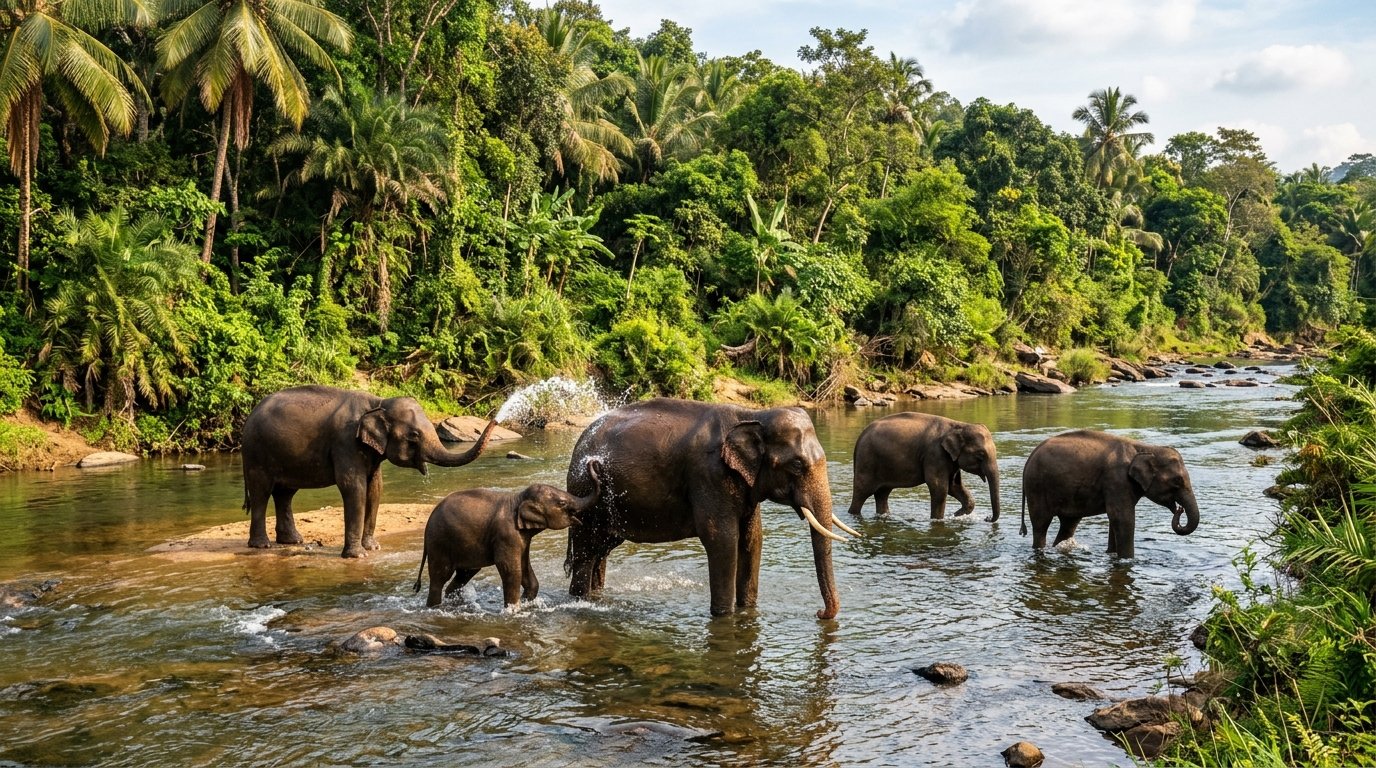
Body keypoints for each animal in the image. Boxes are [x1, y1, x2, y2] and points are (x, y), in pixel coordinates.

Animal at [241, 385, 497, 558]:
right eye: (414, 435)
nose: (495, 418)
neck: (378, 402)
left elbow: (375, 487)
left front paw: (373, 548)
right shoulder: (345, 442)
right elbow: (354, 487)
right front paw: (357, 555)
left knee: (285, 493)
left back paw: (292, 541)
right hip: (256, 452)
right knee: (261, 492)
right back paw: (262, 545)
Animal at [413, 461, 603, 609]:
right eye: (562, 503)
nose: (594, 463)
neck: (518, 498)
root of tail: (427, 526)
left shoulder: (522, 539)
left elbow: (524, 566)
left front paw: (528, 603)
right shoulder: (506, 534)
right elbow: (510, 568)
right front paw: (513, 610)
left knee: (464, 574)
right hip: (439, 542)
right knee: (440, 577)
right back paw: (434, 607)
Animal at [563, 398, 859, 620]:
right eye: (797, 465)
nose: (819, 613)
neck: (752, 414)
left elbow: (753, 540)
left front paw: (748, 610)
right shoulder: (710, 475)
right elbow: (722, 539)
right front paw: (724, 616)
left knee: (602, 549)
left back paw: (597, 595)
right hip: (585, 491)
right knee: (587, 549)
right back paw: (581, 601)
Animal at [846, 412, 1002, 522]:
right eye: (981, 455)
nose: (987, 518)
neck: (958, 425)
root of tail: (860, 437)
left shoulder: (951, 460)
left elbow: (954, 486)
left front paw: (956, 515)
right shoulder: (935, 454)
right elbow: (940, 488)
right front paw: (939, 520)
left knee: (882, 493)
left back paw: (885, 516)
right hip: (867, 462)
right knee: (862, 492)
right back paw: (854, 515)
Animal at [1020, 429, 1201, 559]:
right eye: (1177, 481)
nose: (1179, 509)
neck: (1147, 448)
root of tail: (1030, 457)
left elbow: (1115, 520)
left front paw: (1112, 555)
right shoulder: (1117, 480)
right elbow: (1123, 518)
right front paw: (1128, 560)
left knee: (1068, 524)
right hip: (1037, 487)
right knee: (1041, 524)